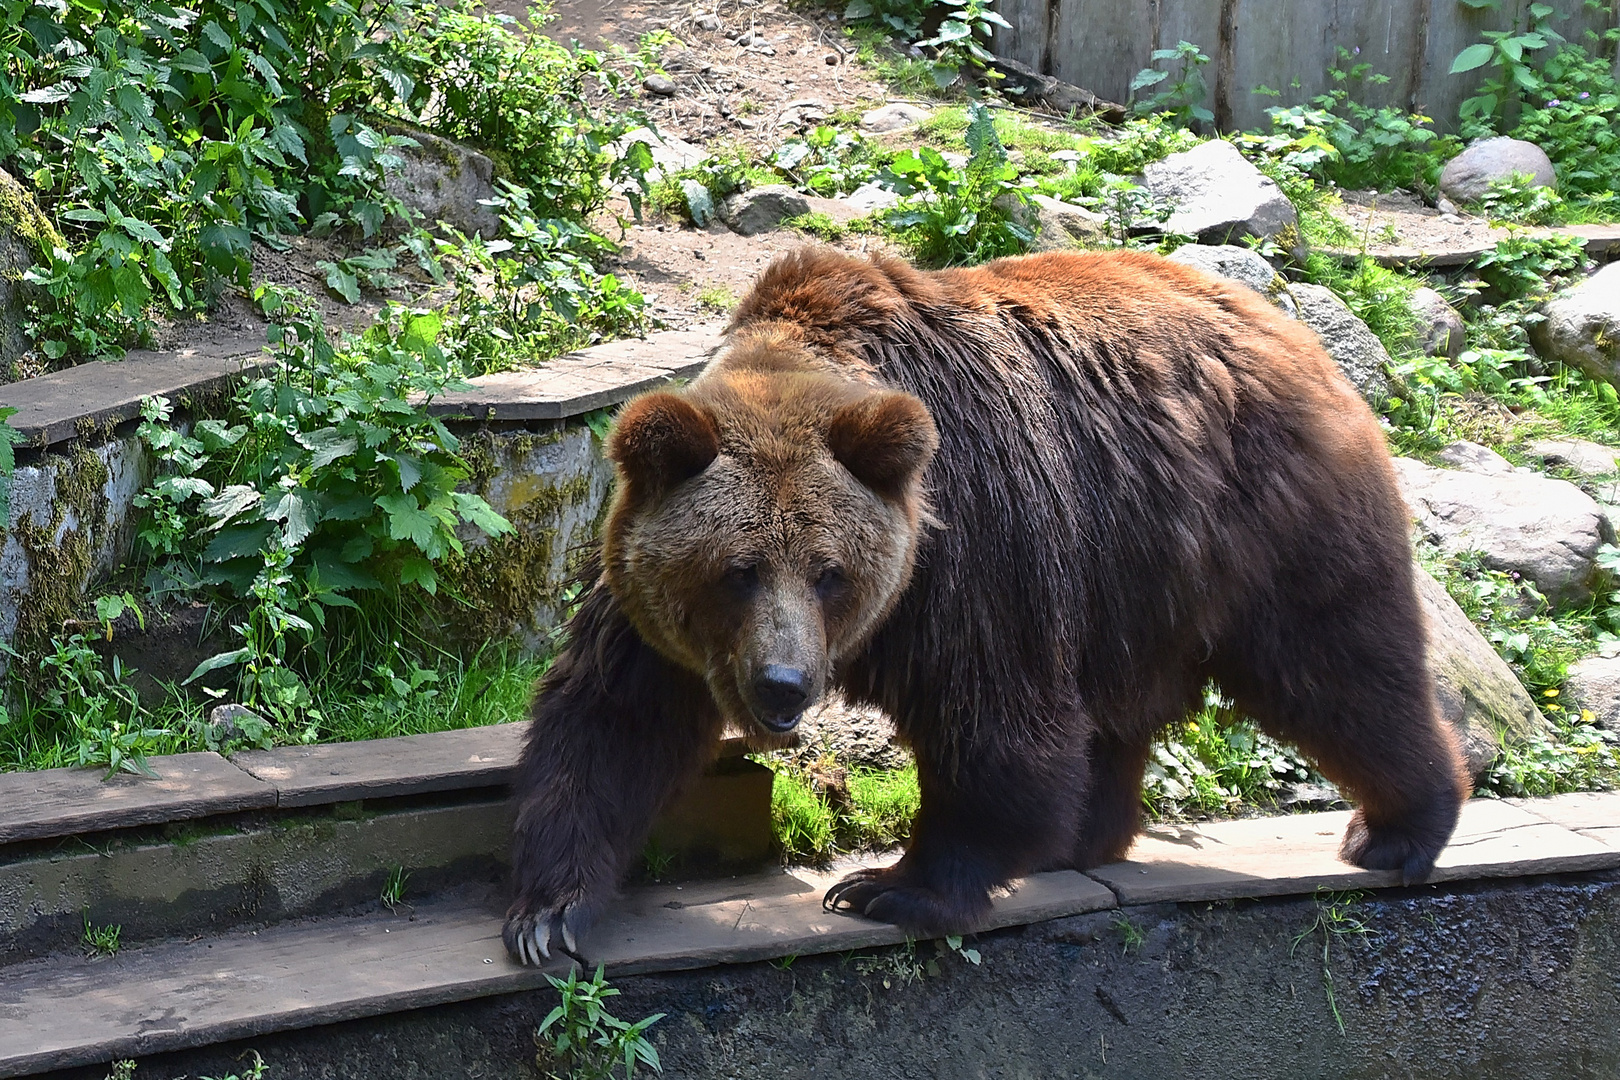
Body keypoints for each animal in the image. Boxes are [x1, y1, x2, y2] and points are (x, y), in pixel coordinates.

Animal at [502, 247, 1470, 965]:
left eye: (828, 572)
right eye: (737, 570)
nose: (783, 685)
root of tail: (1292, 326)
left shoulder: (975, 550)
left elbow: (995, 721)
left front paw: (892, 886)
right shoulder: (652, 604)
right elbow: (614, 716)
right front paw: (549, 911)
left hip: (1257, 525)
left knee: (1336, 666)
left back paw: (1396, 829)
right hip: (1132, 572)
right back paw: (1086, 838)